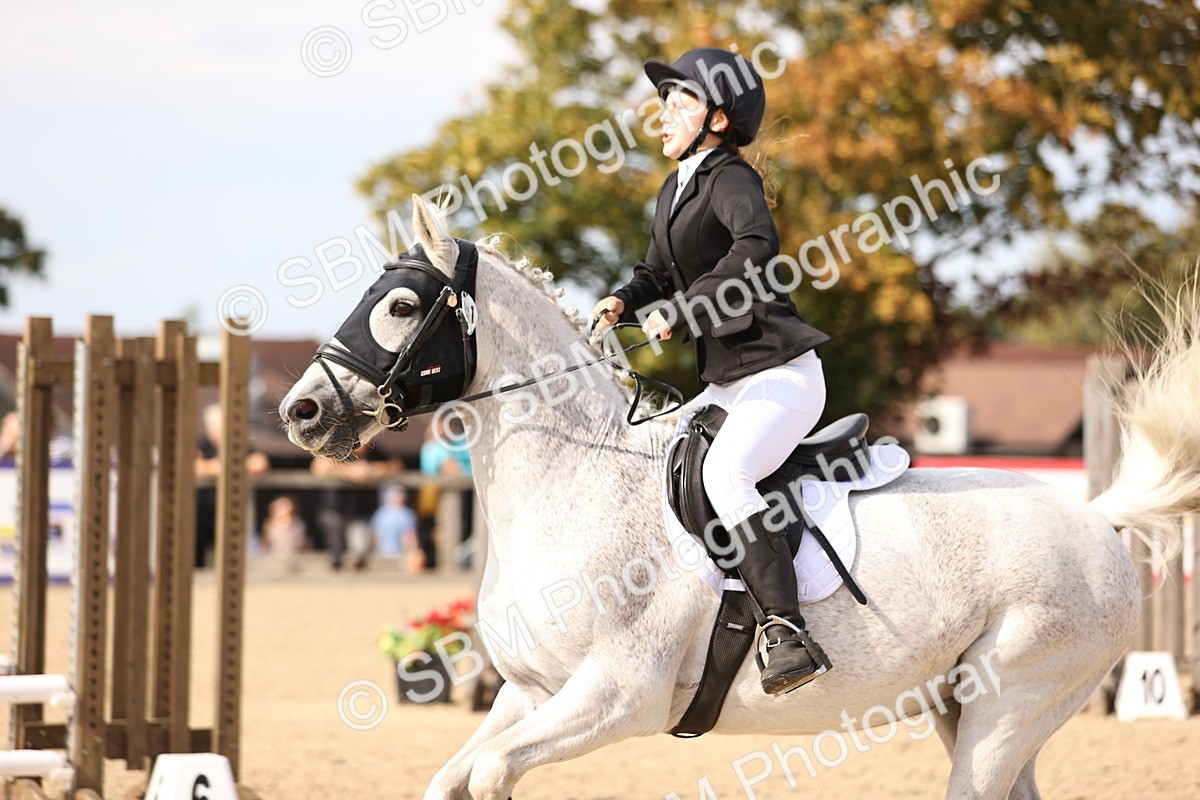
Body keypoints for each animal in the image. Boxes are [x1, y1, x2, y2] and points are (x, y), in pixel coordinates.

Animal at [280, 196, 1195, 800]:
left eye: (401, 304)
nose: (302, 412)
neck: (571, 481)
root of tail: (1095, 517)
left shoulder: (617, 698)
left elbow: (492, 772)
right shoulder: (530, 694)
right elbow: (455, 776)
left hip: (1015, 701)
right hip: (962, 705)